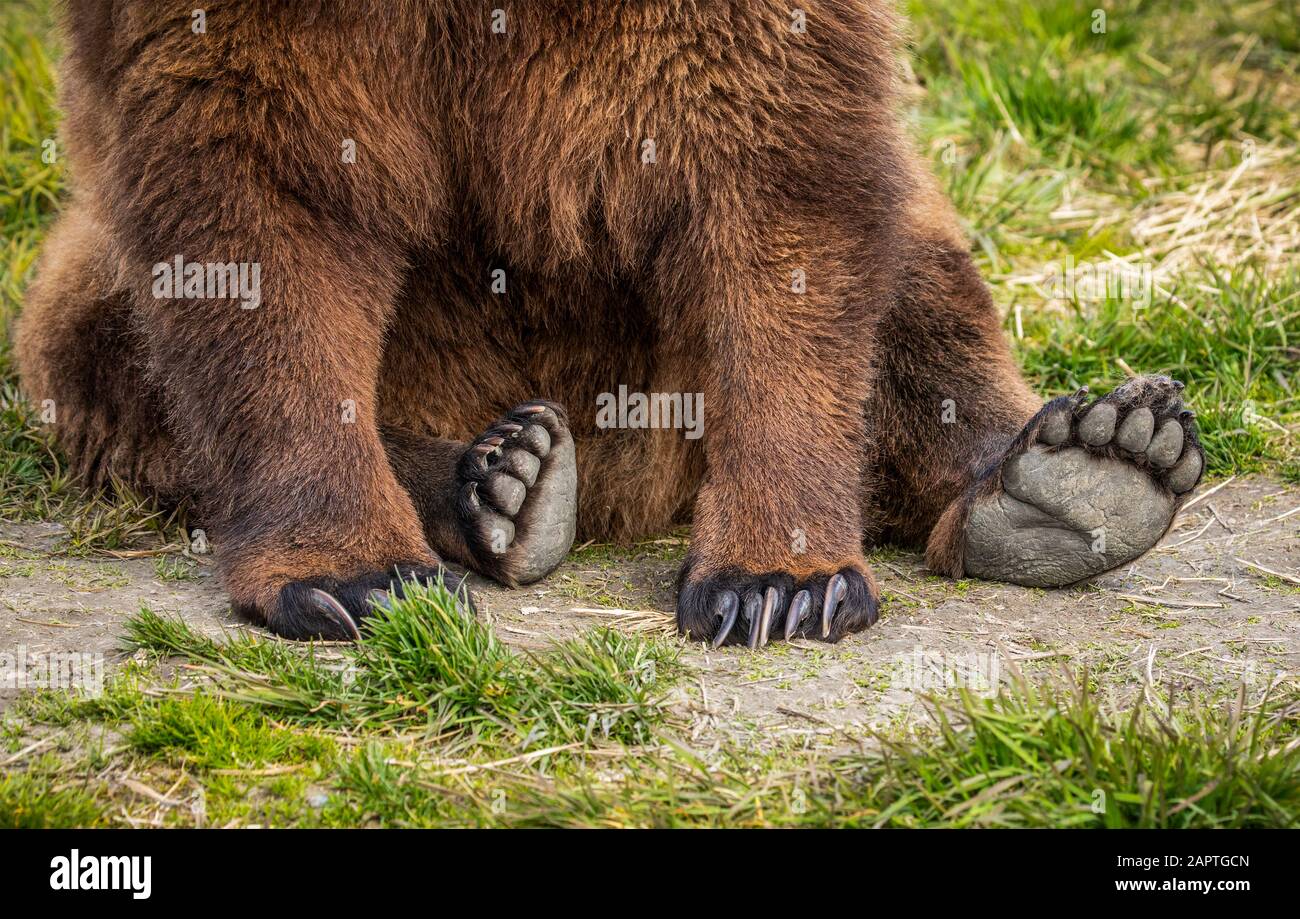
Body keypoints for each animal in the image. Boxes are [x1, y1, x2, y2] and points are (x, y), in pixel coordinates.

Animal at [12, 1, 1206, 647]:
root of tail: (634, 482)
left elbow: (776, 158)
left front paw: (777, 580)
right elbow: (260, 196)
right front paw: (353, 575)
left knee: (913, 269)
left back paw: (1089, 463)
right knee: (106, 345)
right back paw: (502, 478)